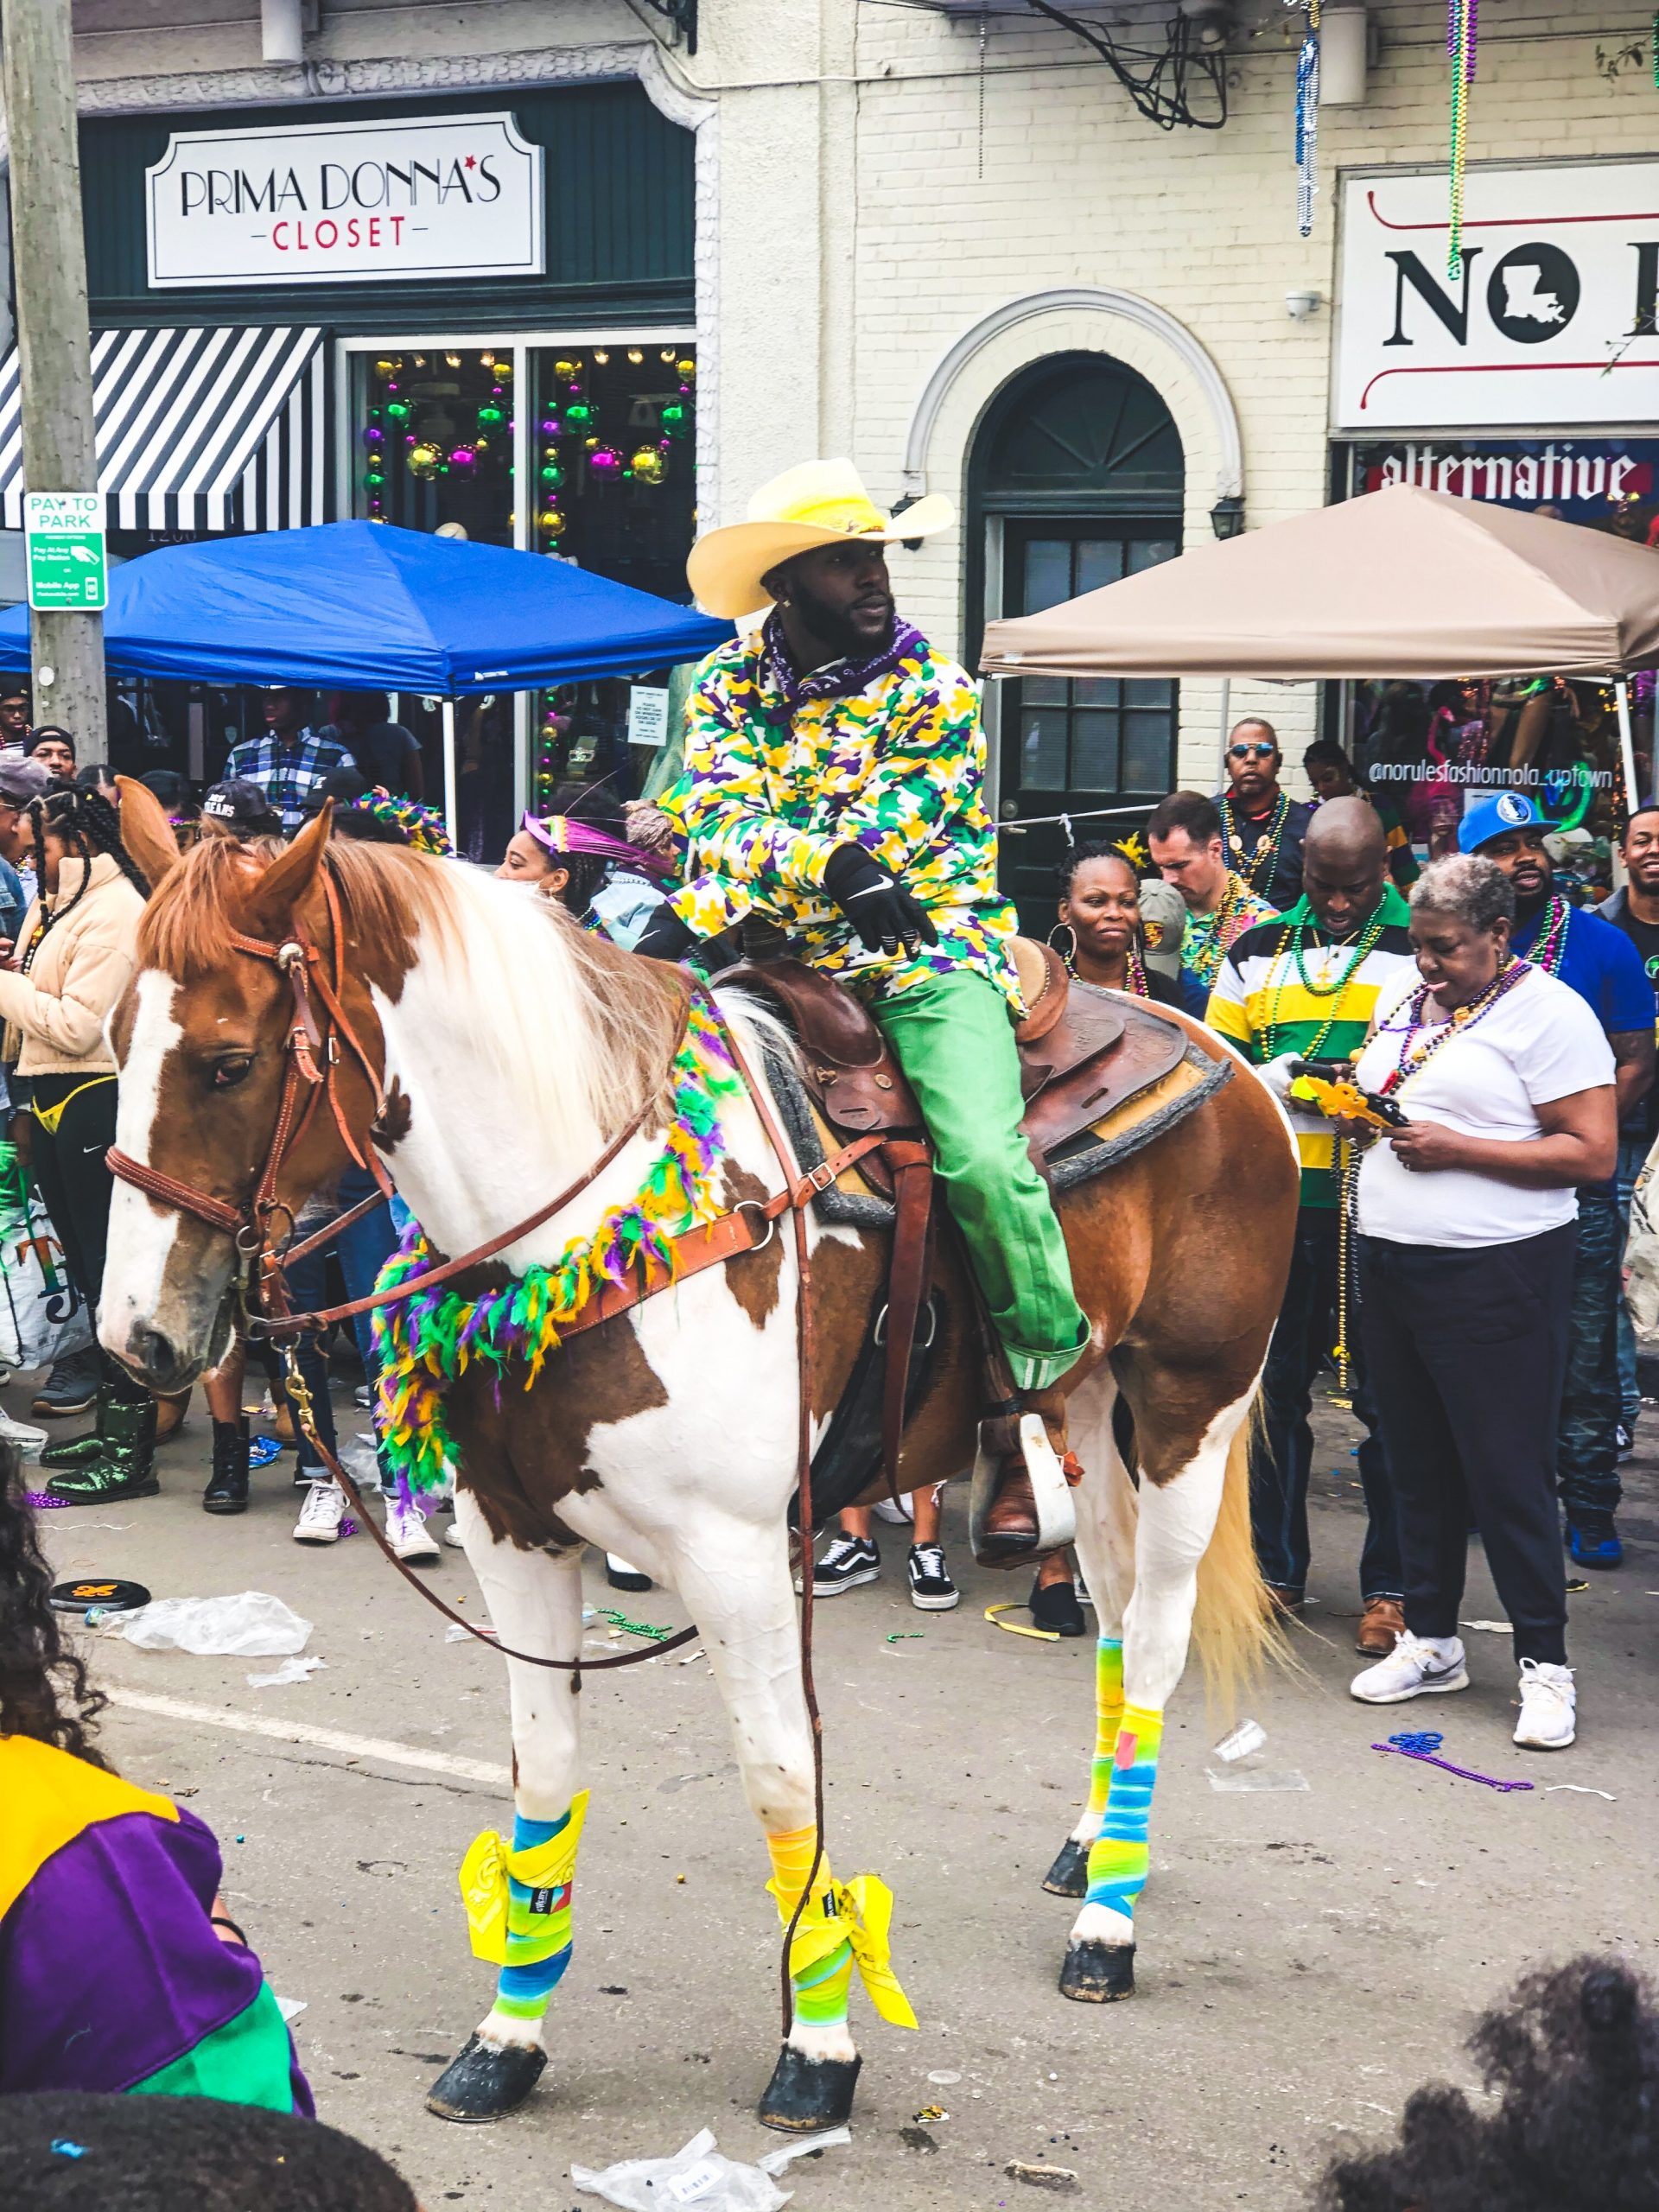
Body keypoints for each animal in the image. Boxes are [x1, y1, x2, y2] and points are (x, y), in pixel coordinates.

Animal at [97, 823, 1309, 2132]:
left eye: (227, 1063)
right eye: (116, 1040)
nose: (137, 1336)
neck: (596, 1217)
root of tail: (1234, 1061)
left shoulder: (735, 1556)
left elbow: (782, 1783)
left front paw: (818, 2048)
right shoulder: (511, 1535)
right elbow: (542, 1778)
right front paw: (506, 2038)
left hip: (1191, 1406)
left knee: (1159, 1636)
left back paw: (1107, 1925)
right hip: (1079, 1400)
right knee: (1112, 1614)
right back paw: (1090, 1844)